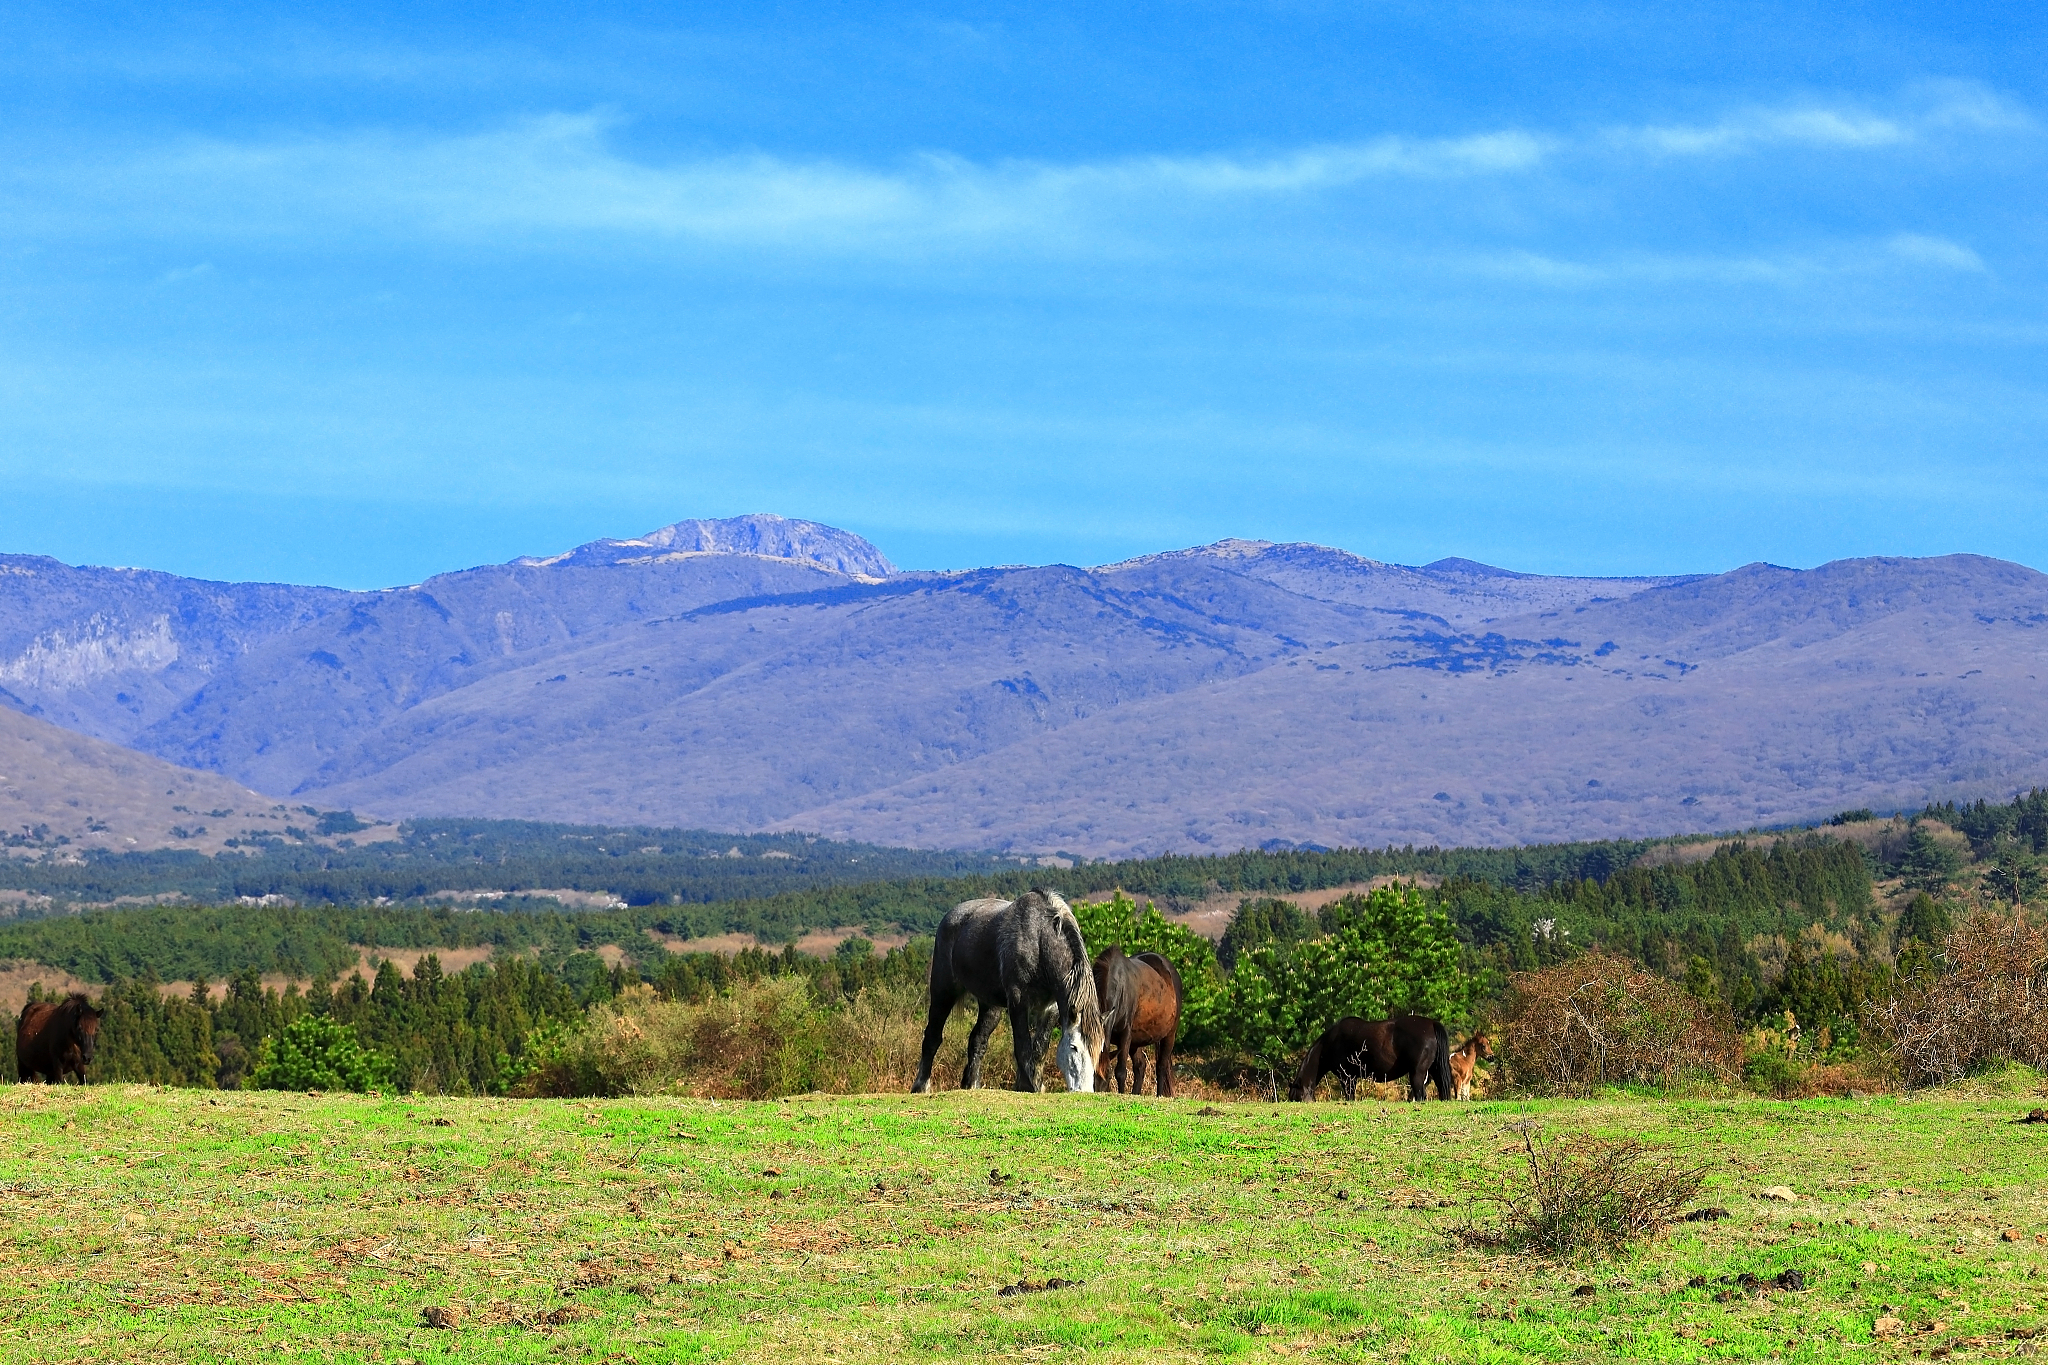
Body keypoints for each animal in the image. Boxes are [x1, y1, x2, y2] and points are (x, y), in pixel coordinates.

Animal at [911, 888, 1105, 1094]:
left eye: (1100, 1049)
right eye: (1074, 1047)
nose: (1084, 1091)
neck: (1038, 939)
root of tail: (950, 917)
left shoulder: (1050, 1008)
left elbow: (1039, 1049)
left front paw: (1034, 1084)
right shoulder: (1018, 1000)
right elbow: (1023, 1046)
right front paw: (1027, 1086)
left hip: (990, 1006)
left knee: (977, 1041)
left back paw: (972, 1085)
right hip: (943, 992)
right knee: (932, 1037)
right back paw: (921, 1086)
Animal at [1092, 946, 1183, 1097]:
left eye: (1108, 1076)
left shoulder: (1125, 1034)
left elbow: (1121, 1071)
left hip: (1169, 1035)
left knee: (1161, 1066)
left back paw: (1159, 1095)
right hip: (1136, 1041)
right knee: (1140, 1066)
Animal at [1288, 1015, 1454, 1102]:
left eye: (1296, 1097)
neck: (1330, 1043)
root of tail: (1432, 1023)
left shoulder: (1347, 1077)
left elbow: (1349, 1095)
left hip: (1417, 1073)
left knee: (1420, 1094)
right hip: (1434, 1070)